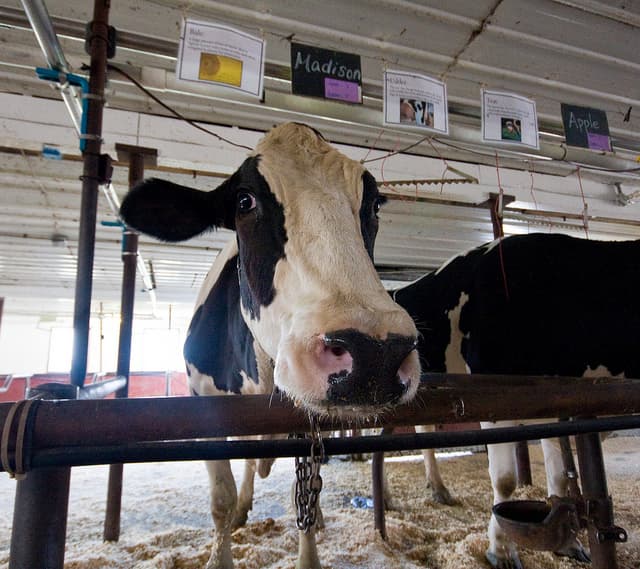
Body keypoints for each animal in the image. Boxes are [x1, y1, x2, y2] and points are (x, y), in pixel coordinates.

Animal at [119, 122, 421, 569]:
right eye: (245, 201)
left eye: (374, 205)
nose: (375, 354)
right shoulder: (202, 399)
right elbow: (221, 500)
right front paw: (222, 553)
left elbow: (306, 495)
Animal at [392, 232, 640, 569]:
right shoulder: (494, 395)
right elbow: (506, 480)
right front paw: (500, 551)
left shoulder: (556, 404)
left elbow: (560, 477)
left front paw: (568, 543)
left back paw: (438, 488)